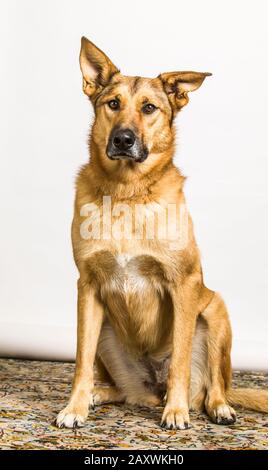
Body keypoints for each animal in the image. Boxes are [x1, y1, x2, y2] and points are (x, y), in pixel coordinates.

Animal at [55, 36, 266, 430]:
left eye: (149, 108)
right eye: (113, 104)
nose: (123, 139)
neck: (128, 193)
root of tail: (152, 388)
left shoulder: (183, 284)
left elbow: (180, 360)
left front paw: (177, 412)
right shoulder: (87, 287)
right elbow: (80, 361)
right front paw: (74, 407)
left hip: (215, 311)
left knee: (214, 384)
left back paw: (215, 407)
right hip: (106, 330)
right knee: (119, 388)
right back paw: (99, 394)